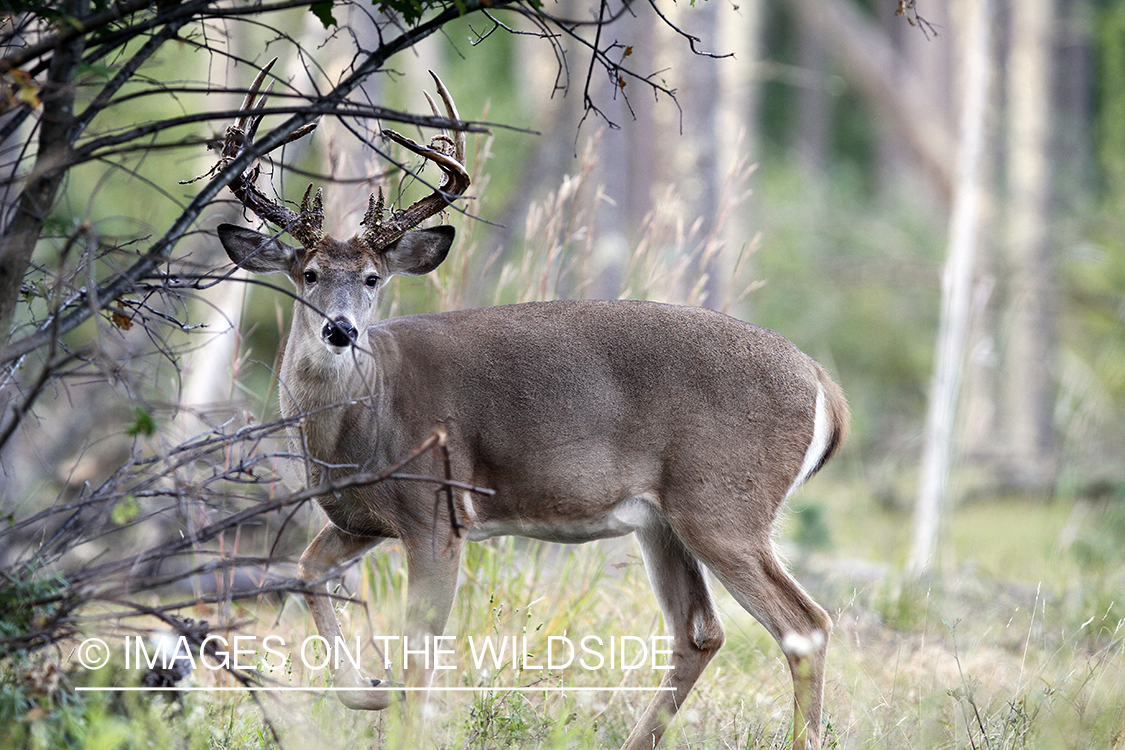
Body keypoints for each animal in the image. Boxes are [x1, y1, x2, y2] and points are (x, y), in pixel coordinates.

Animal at [207, 62, 846, 750]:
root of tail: (821, 382)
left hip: (724, 502)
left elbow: (420, 655)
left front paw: (391, 703)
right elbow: (304, 569)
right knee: (700, 631)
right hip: (663, 521)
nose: (340, 330)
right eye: (308, 275)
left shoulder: (436, 512)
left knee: (804, 623)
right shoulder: (361, 519)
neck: (357, 427)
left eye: (373, 279)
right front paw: (368, 689)